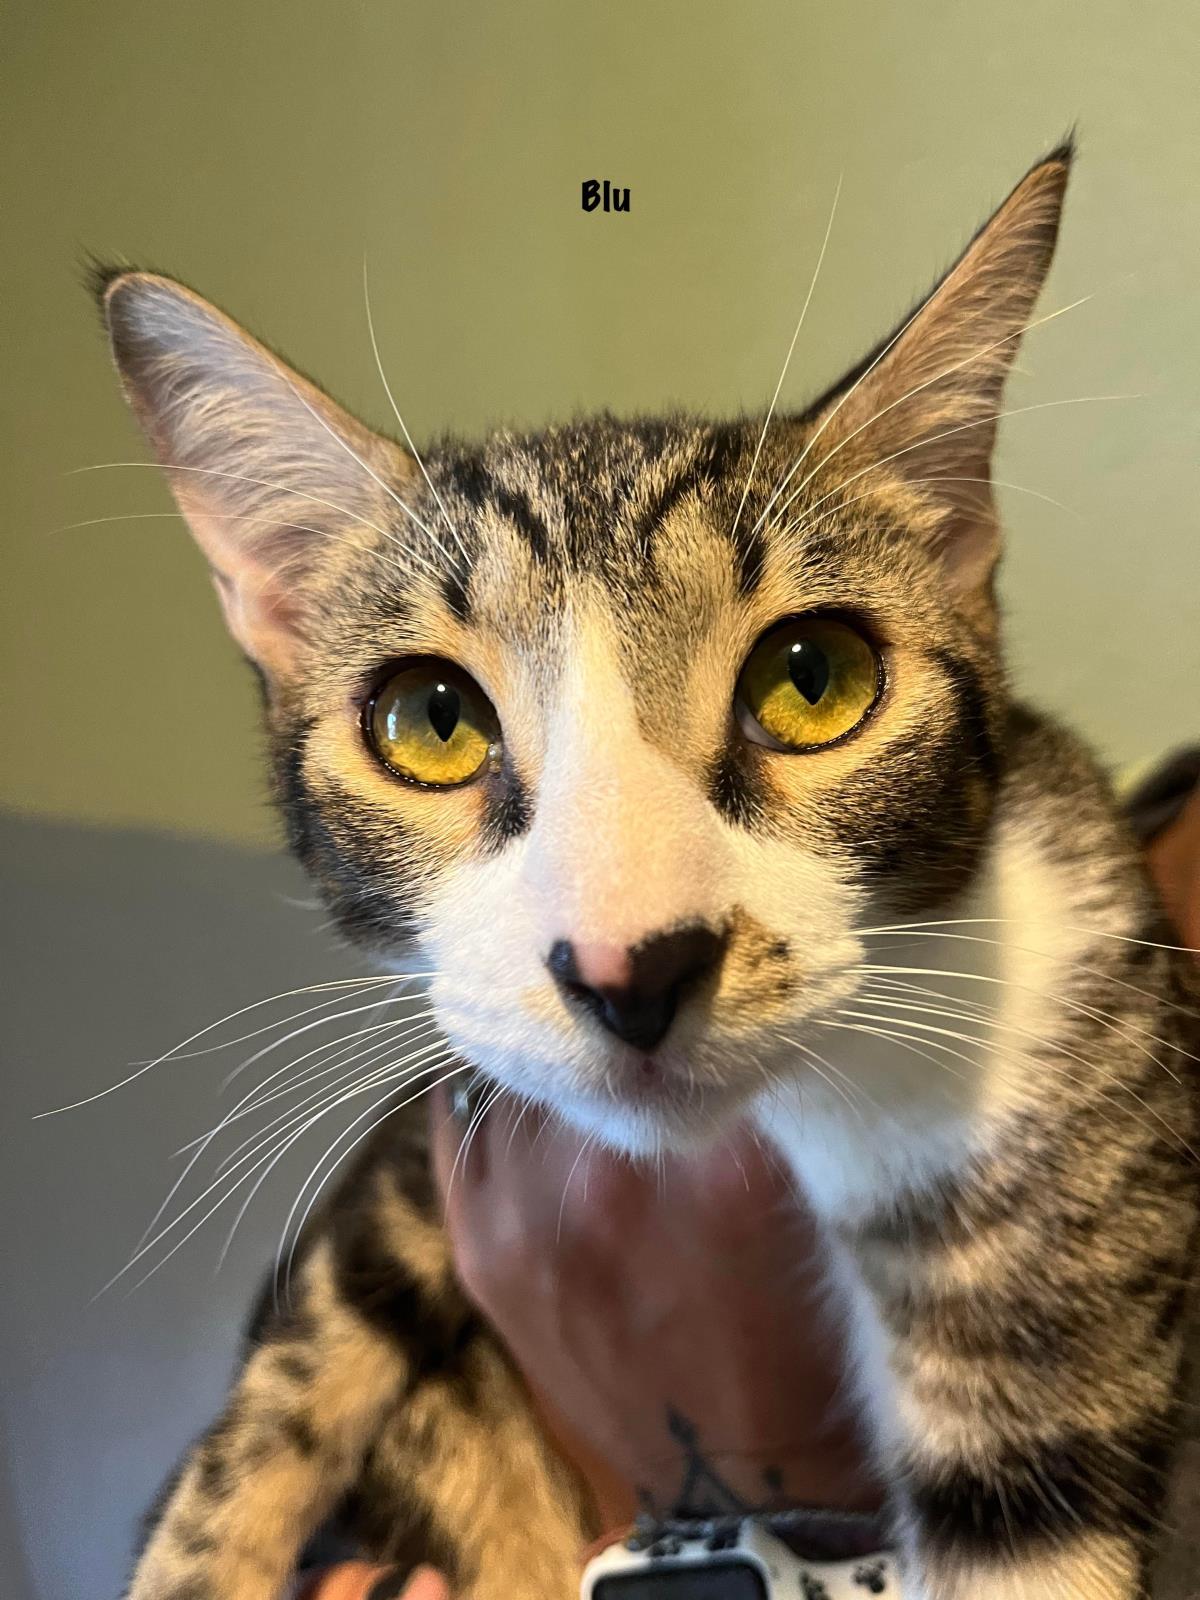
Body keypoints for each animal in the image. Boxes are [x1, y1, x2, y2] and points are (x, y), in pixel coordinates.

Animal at [103, 140, 1200, 1600]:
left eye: (813, 679)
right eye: (430, 720)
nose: (632, 963)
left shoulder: (1065, 1061)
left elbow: (1034, 1503)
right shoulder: (434, 1126)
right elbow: (314, 1340)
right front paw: (195, 1554)